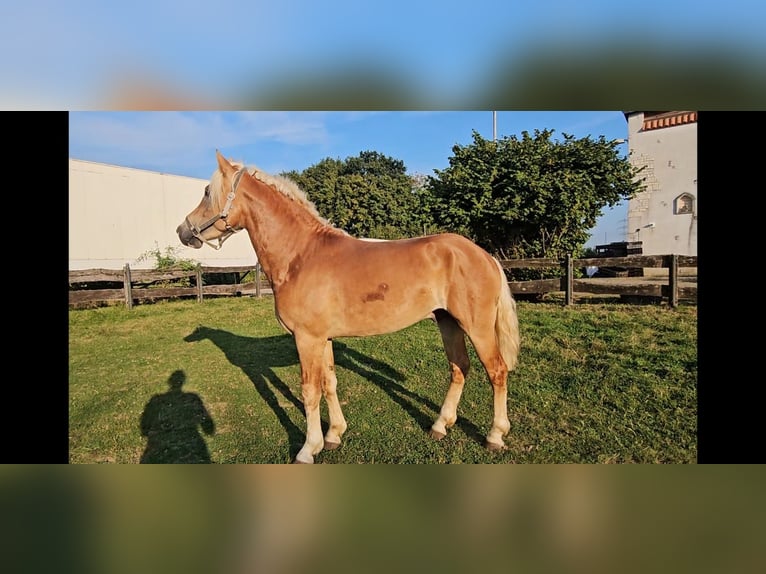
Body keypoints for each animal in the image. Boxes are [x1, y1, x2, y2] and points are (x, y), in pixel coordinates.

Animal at [176, 151, 520, 466]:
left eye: (206, 192)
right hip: (448, 322)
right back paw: (440, 426)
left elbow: (309, 390)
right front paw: (333, 435)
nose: (183, 231)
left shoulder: (307, 339)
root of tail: (484, 255)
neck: (300, 255)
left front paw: (308, 449)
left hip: (477, 327)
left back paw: (495, 435)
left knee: (497, 371)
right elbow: (330, 384)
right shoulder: (322, 339)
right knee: (459, 368)